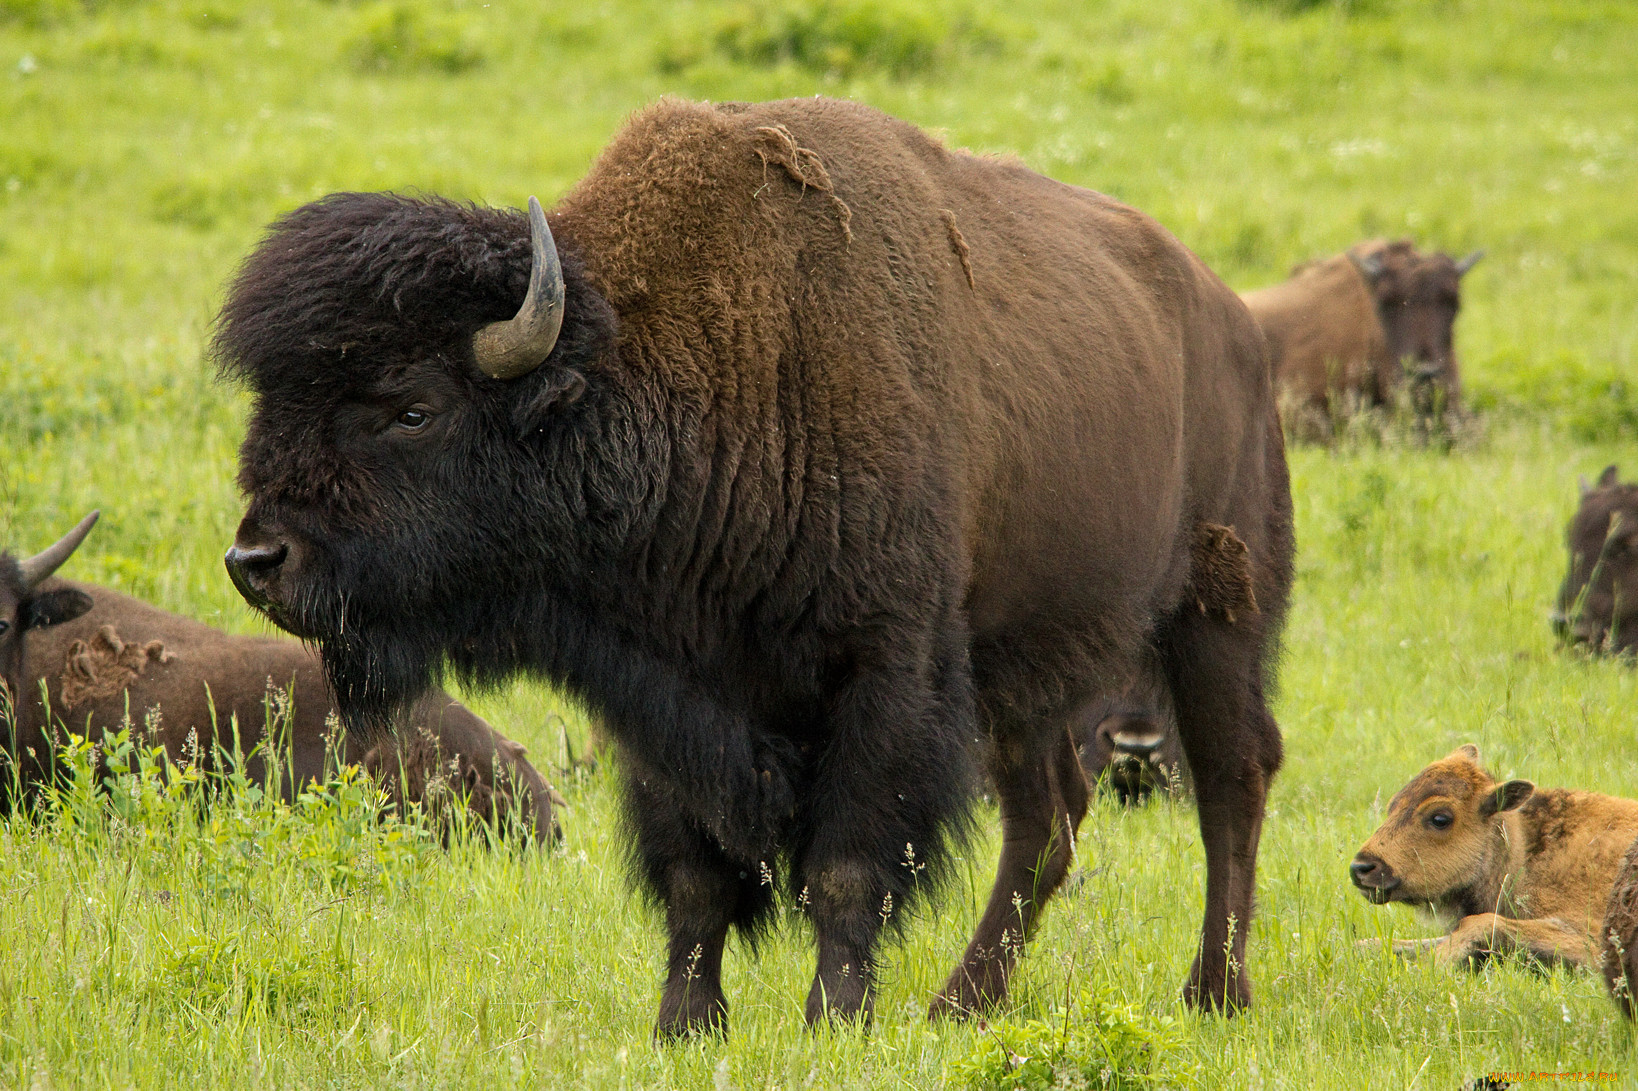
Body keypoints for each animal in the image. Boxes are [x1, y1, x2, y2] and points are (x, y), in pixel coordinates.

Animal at [217, 97, 1290, 1035]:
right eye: (272, 399)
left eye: (412, 406)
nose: (257, 557)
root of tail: (1231, 322)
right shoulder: (667, 696)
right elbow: (696, 874)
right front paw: (685, 1024)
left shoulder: (885, 671)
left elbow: (846, 864)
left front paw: (834, 1018)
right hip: (1020, 674)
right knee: (1049, 817)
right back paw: (961, 1004)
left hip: (1215, 614)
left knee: (1231, 781)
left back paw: (1214, 992)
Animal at [1343, 743, 1638, 989]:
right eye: (1393, 805)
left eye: (1440, 818)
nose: (1361, 868)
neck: (1525, 852)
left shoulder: (1590, 938)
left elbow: (1479, 923)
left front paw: (1431, 966)